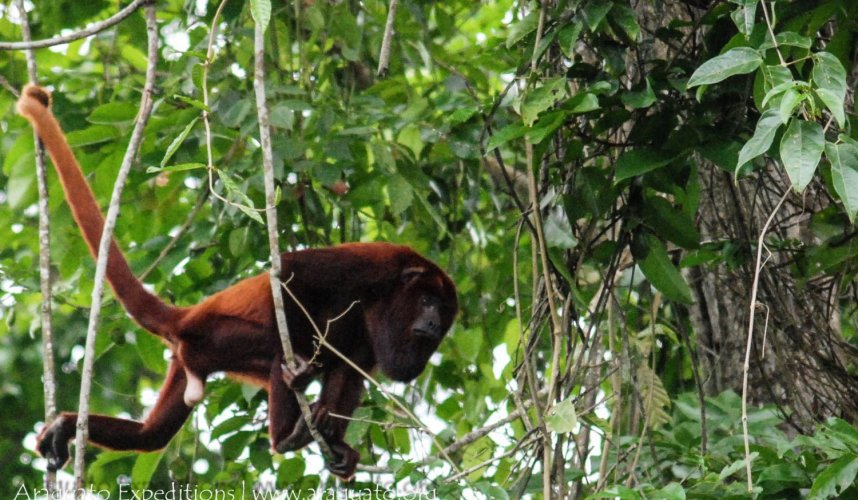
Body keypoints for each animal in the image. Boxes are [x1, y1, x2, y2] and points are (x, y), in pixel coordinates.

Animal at [16, 85, 458, 480]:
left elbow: (348, 373)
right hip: (210, 337)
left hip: (187, 362)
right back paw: (285, 432)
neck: (389, 295)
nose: (433, 324)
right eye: (428, 302)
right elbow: (292, 274)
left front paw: (333, 434)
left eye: (443, 315)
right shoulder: (373, 266)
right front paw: (301, 374)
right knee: (280, 346)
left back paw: (68, 427)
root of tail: (187, 315)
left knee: (151, 436)